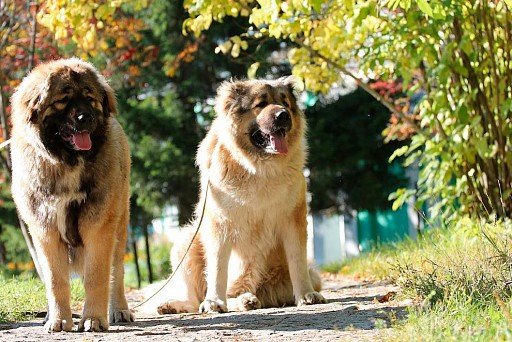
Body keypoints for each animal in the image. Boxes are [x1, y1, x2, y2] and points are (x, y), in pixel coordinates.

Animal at [11, 58, 134, 332]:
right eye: (62, 100)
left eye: (89, 98)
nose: (85, 117)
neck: (66, 163)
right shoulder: (45, 231)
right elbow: (56, 281)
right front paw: (58, 320)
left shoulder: (98, 226)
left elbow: (97, 276)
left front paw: (94, 319)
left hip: (119, 224)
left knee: (117, 271)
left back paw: (119, 310)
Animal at [154, 77, 326, 316]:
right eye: (261, 104)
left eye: (285, 103)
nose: (283, 115)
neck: (258, 168)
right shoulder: (219, 225)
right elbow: (217, 268)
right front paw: (214, 302)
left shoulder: (294, 220)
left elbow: (297, 261)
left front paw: (307, 295)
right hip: (185, 243)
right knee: (197, 298)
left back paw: (249, 299)